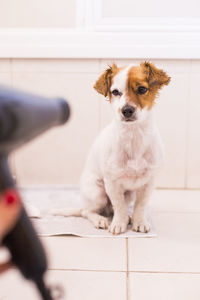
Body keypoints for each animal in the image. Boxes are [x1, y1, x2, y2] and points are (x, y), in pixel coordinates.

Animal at [53, 61, 170, 234]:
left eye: (142, 89)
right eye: (115, 92)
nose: (127, 110)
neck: (133, 136)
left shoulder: (148, 182)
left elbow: (140, 206)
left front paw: (138, 221)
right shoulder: (112, 183)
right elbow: (119, 206)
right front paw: (119, 224)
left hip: (129, 194)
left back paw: (127, 217)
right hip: (98, 193)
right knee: (87, 211)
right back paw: (101, 220)